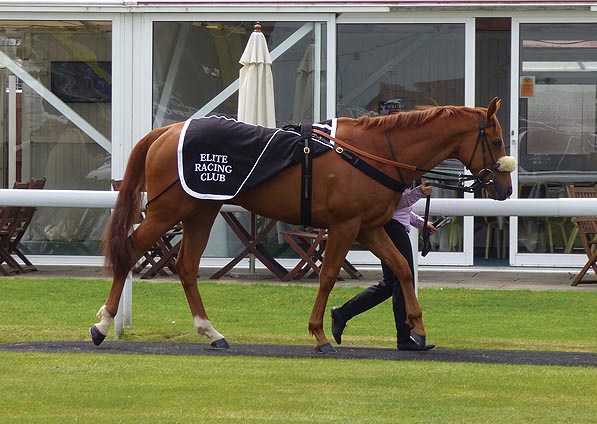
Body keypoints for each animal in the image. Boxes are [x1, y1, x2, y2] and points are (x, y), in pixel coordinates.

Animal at [92, 97, 512, 352]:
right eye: (495, 139)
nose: (506, 188)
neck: (372, 152)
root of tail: (166, 130)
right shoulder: (344, 227)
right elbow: (327, 276)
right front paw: (320, 332)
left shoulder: (369, 227)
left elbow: (402, 269)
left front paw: (417, 330)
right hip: (169, 210)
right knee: (132, 251)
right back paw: (102, 324)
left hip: (201, 210)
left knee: (186, 266)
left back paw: (212, 332)